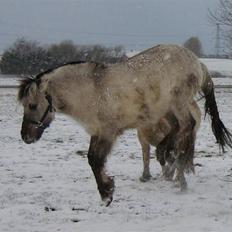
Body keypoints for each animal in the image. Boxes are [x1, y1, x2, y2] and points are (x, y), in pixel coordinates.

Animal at [17, 44, 231, 206]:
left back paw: (171, 160)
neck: (92, 90)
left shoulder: (107, 132)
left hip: (178, 102)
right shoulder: (97, 132)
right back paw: (165, 153)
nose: (26, 136)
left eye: (32, 105)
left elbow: (95, 160)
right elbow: (92, 159)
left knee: (187, 125)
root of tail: (199, 63)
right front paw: (107, 190)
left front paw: (107, 193)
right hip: (165, 109)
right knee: (176, 128)